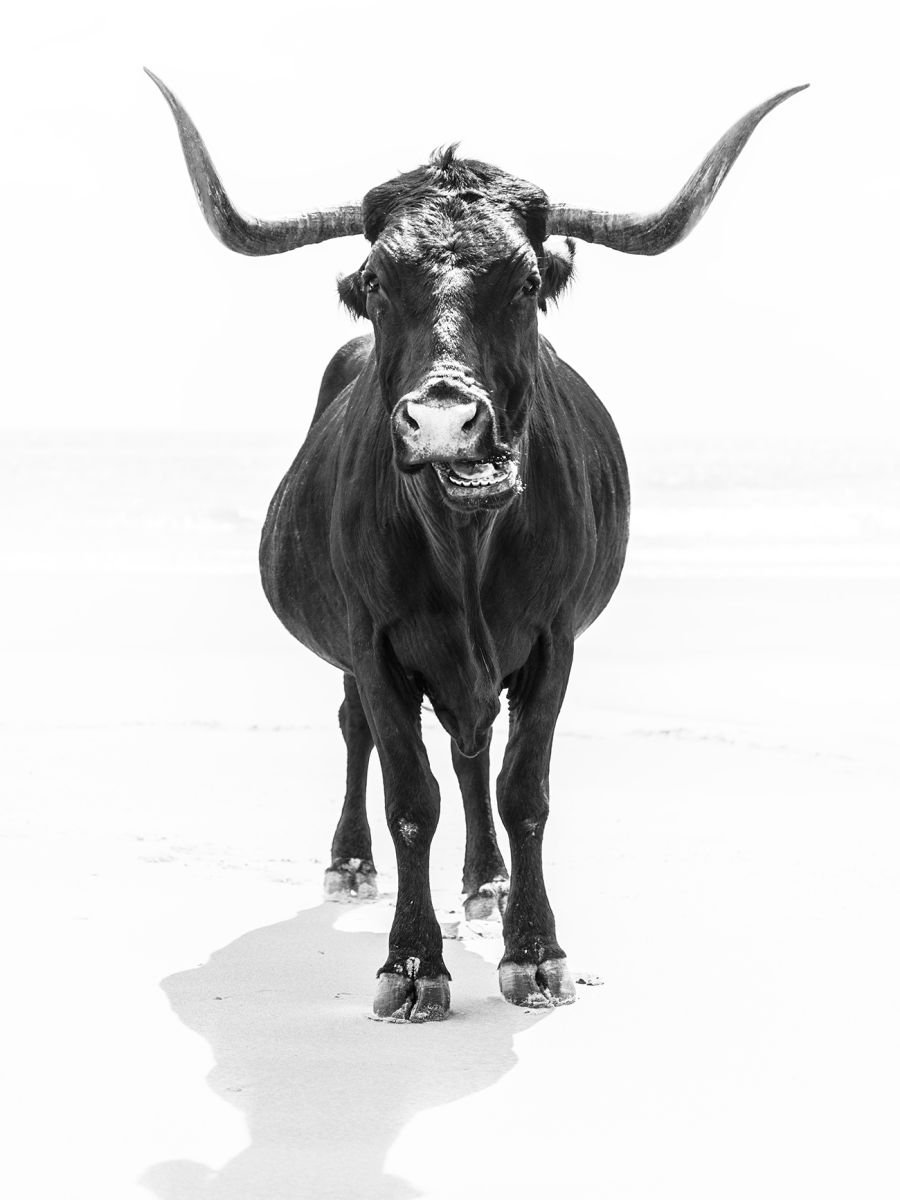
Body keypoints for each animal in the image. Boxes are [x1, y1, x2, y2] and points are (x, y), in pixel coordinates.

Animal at [147, 70, 806, 1021]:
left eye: (527, 280)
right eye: (377, 281)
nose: (445, 420)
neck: (464, 542)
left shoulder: (554, 641)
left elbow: (522, 788)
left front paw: (535, 951)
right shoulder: (375, 646)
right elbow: (409, 798)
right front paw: (411, 963)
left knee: (473, 752)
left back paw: (487, 882)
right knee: (361, 734)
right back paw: (351, 863)